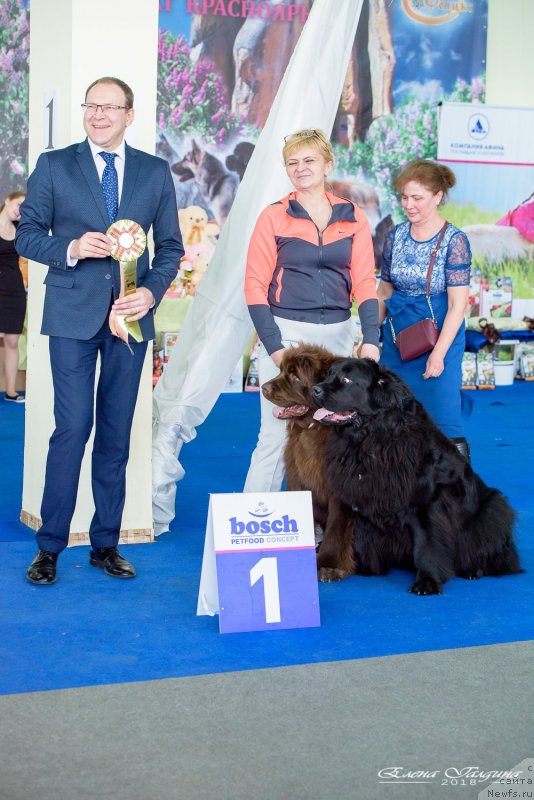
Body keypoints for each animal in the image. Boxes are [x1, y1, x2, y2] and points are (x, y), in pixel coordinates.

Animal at [262, 344, 358, 580]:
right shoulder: (298, 478)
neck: (315, 428)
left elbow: (336, 527)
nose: (263, 387)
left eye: (295, 376)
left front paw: (328, 564)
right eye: (282, 370)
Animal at [312, 358, 524, 592]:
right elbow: (349, 534)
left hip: (492, 508)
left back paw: (473, 570)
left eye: (346, 380)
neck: (371, 439)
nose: (315, 390)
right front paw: (353, 567)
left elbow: (426, 542)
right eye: (328, 375)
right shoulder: (355, 492)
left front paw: (427, 581)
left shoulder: (425, 501)